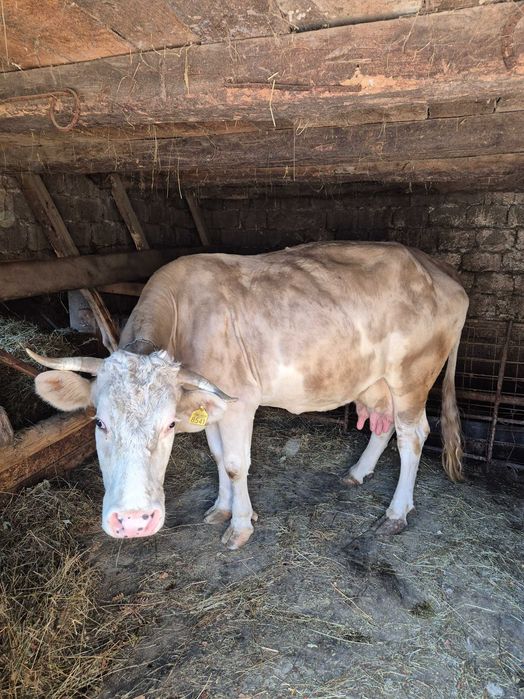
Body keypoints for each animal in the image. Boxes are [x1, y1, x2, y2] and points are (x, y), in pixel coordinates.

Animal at [28, 241, 469, 549]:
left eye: (169, 425)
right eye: (100, 422)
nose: (134, 521)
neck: (184, 317)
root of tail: (437, 269)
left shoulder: (239, 401)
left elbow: (237, 464)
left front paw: (239, 526)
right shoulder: (210, 402)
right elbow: (218, 457)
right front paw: (220, 509)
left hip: (411, 376)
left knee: (413, 436)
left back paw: (396, 513)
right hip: (376, 381)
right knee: (383, 426)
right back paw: (358, 473)